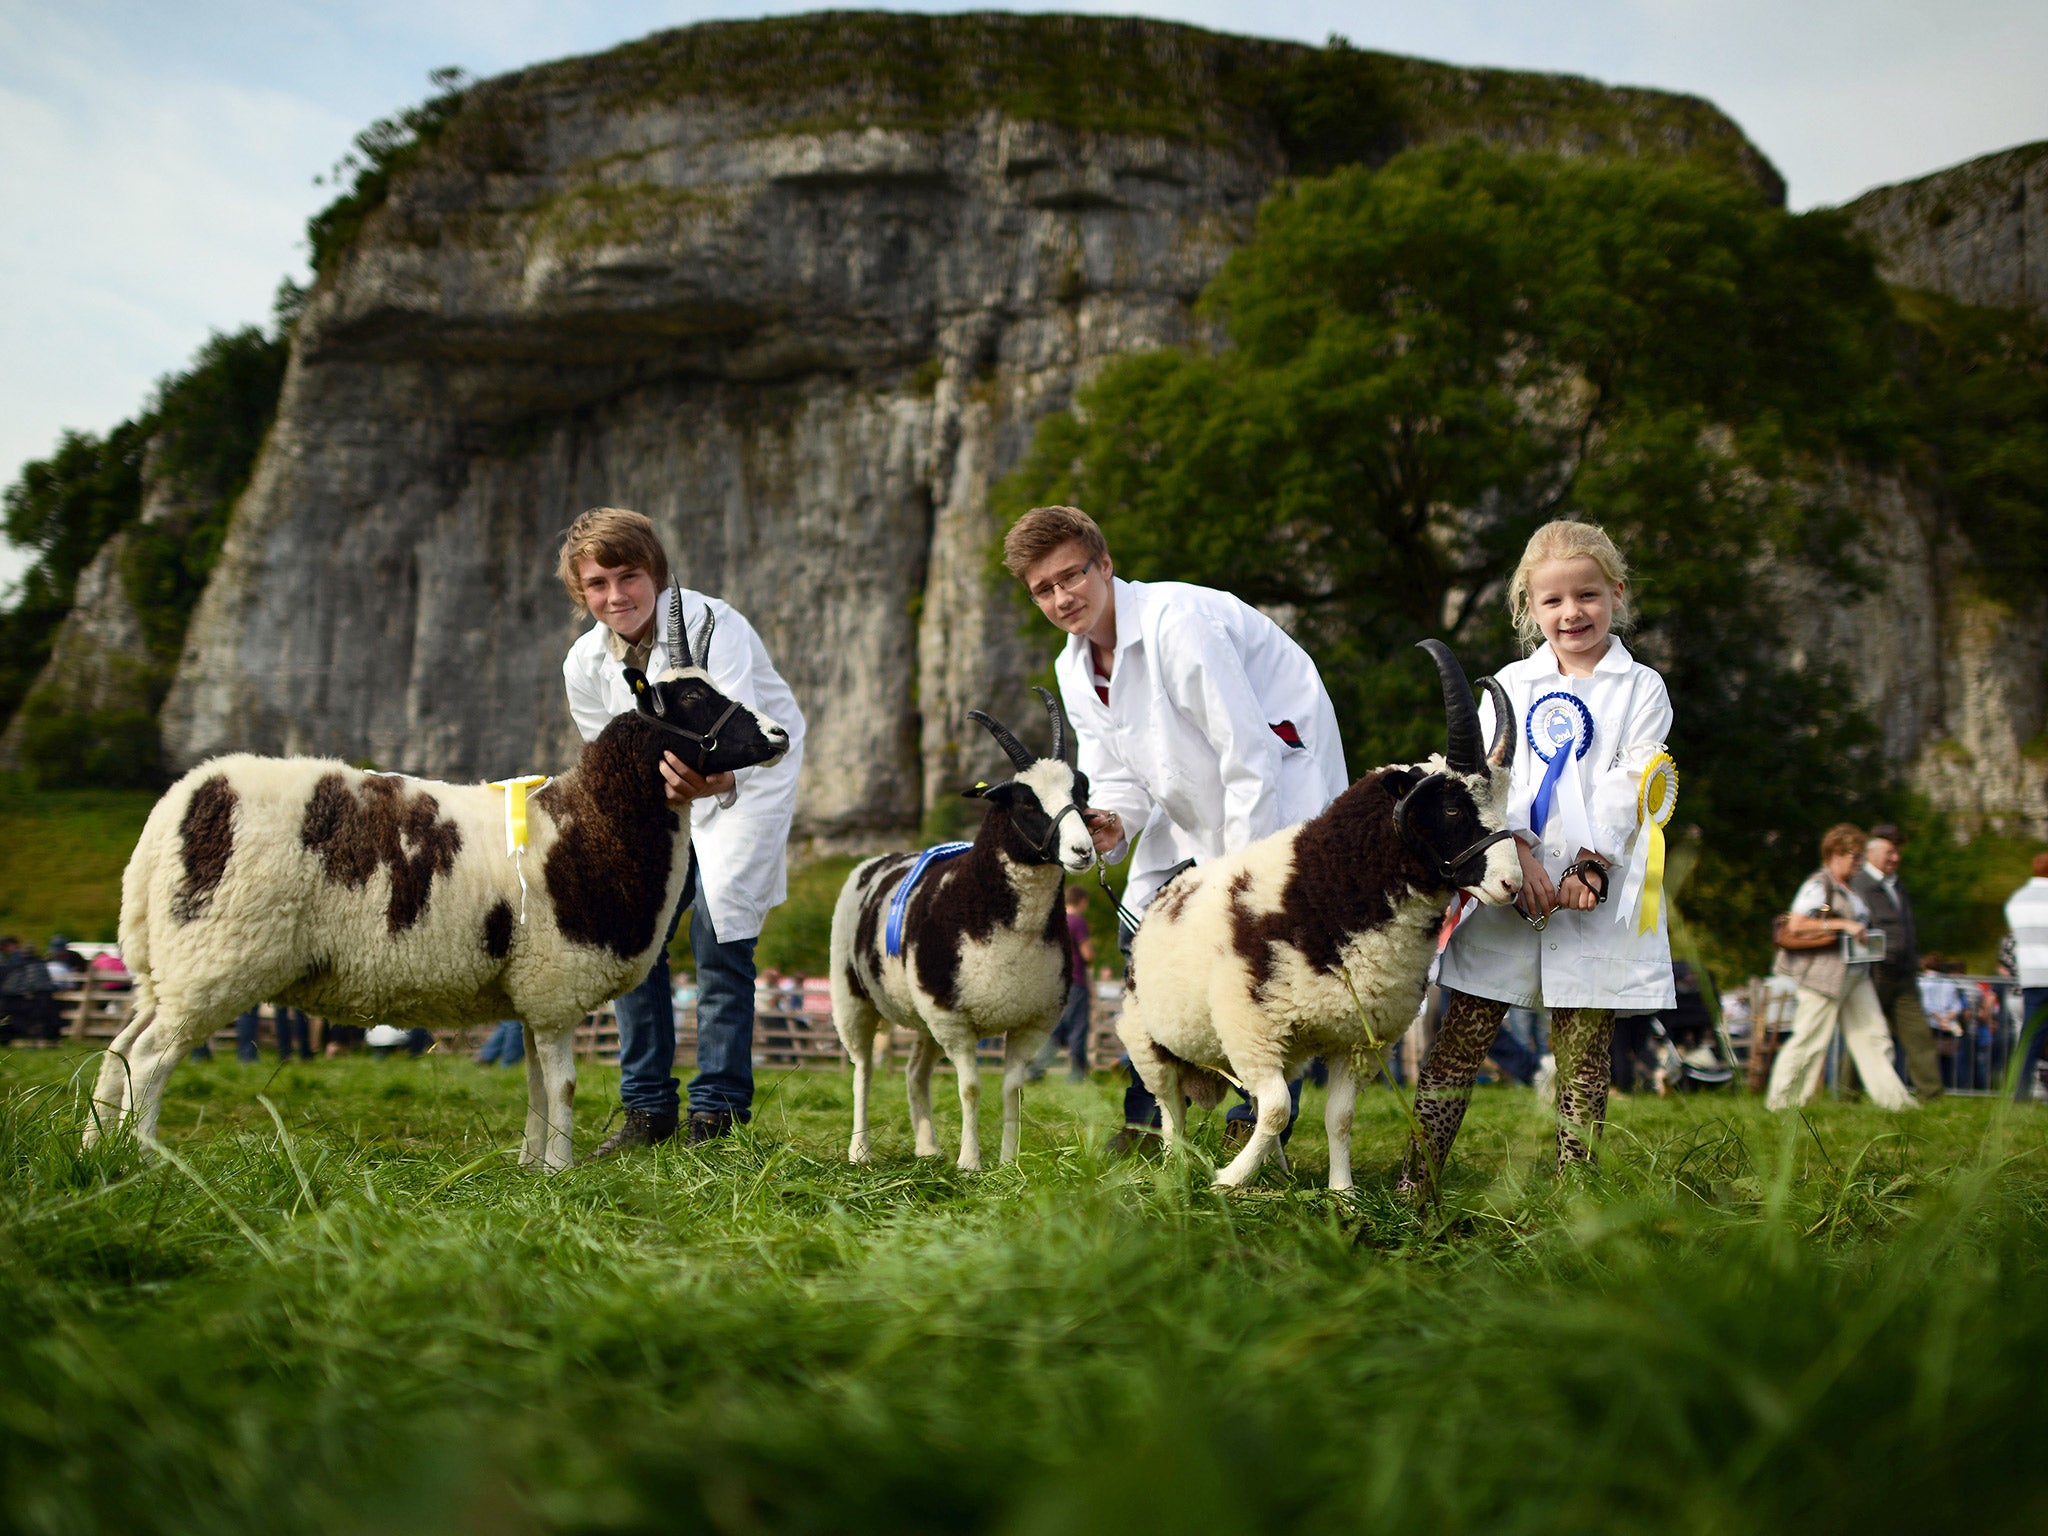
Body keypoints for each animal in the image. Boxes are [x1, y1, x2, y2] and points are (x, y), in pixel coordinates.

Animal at [83, 593, 782, 1171]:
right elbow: (562, 1085)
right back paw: (146, 1159)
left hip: (168, 964)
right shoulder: (556, 980)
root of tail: (182, 800)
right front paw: (561, 1172)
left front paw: (529, 1169)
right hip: (215, 956)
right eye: (691, 701)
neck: (592, 817)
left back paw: (97, 1152)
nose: (778, 735)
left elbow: (535, 1084)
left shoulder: (532, 990)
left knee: (119, 1051)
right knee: (150, 1058)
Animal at [827, 692, 1105, 1171]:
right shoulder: (953, 1019)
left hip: (922, 1014)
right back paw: (860, 1151)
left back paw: (927, 1147)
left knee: (914, 1072)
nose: (1082, 851)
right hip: (852, 998)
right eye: (1025, 802)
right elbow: (970, 1088)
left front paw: (1008, 1162)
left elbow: (1013, 1090)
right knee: (862, 1069)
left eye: (1080, 792)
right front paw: (970, 1163)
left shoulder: (1032, 1020)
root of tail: (879, 859)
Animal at [1105, 643, 1523, 1196]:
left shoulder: (1356, 1042)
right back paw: (1179, 1169)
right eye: (1453, 809)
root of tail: (1170, 888)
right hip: (1149, 1040)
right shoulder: (1251, 1029)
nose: (1512, 884)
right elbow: (1278, 1111)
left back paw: (1275, 1169)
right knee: (1171, 1109)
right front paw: (1227, 1181)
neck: (1326, 885)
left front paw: (1340, 1192)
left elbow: (1337, 1119)